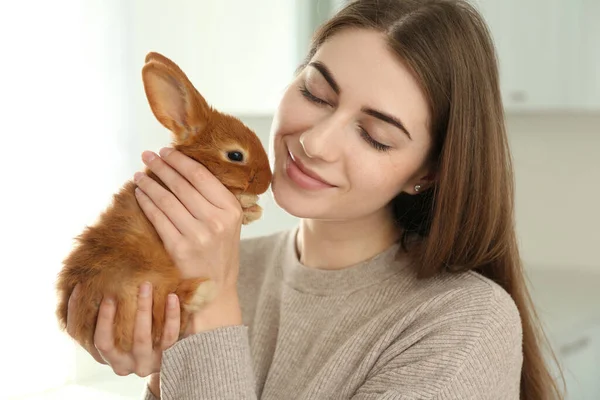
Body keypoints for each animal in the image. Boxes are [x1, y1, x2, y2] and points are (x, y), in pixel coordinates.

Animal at [56, 52, 272, 354]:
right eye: (236, 155)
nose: (268, 181)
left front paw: (255, 208)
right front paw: (251, 204)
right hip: (142, 284)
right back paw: (203, 291)